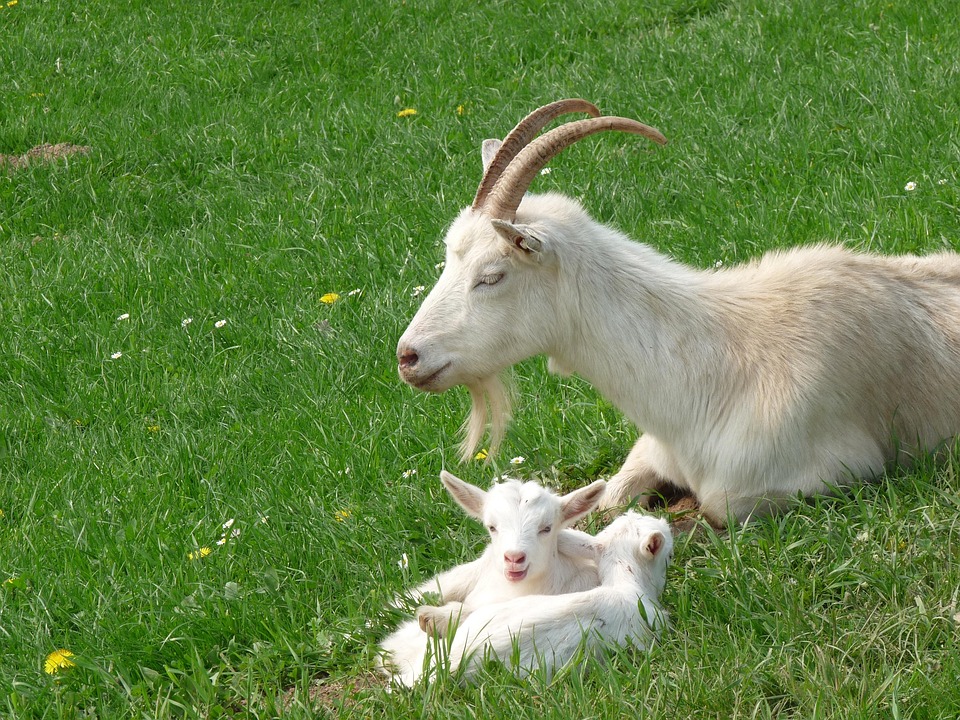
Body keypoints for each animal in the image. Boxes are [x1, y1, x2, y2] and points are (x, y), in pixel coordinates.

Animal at [396, 98, 960, 526]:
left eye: (492, 275)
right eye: (449, 256)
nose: (408, 357)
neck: (708, 369)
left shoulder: (824, 471)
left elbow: (710, 510)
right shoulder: (650, 450)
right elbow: (609, 495)